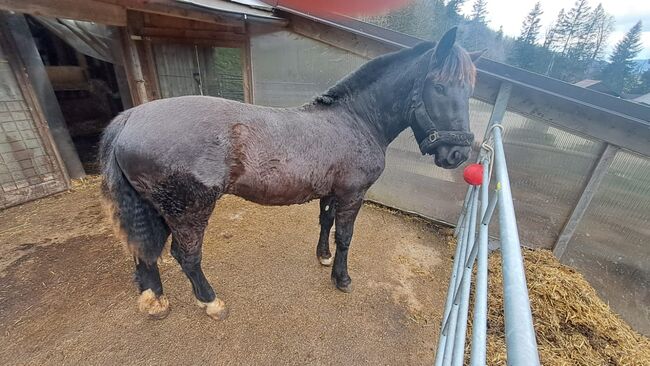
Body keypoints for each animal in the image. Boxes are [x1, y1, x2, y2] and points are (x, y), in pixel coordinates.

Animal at [97, 27, 480, 320]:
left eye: (468, 90)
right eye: (440, 86)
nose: (458, 154)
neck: (356, 119)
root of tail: (130, 118)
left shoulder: (331, 192)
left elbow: (325, 223)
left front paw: (323, 257)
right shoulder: (352, 194)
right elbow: (345, 236)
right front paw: (342, 279)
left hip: (153, 208)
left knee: (142, 250)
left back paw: (155, 301)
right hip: (188, 210)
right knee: (186, 256)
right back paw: (211, 301)